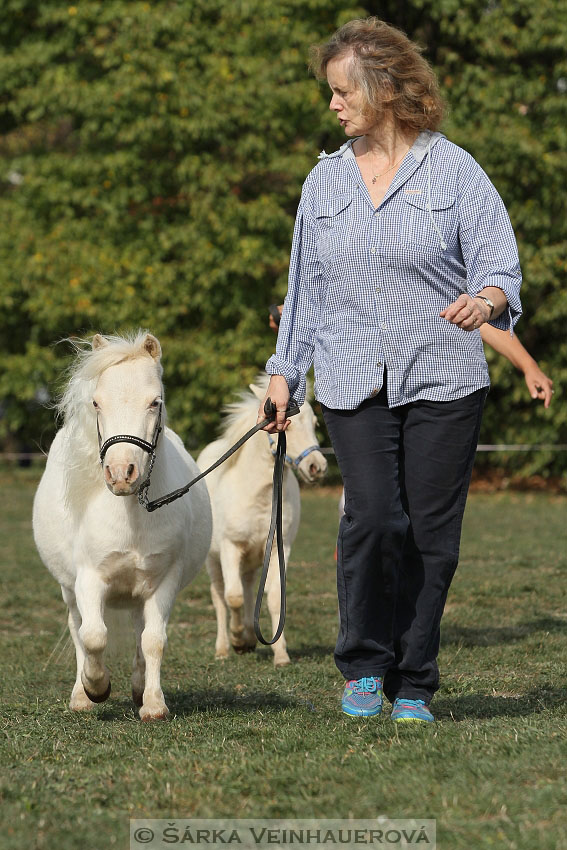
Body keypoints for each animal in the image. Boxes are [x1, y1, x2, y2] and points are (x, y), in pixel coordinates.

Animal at [32, 330, 212, 716]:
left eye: (155, 402)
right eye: (97, 403)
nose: (120, 473)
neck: (132, 513)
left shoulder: (164, 580)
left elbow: (154, 640)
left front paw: (154, 704)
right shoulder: (88, 579)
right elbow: (93, 636)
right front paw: (96, 687)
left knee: (140, 631)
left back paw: (139, 687)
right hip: (69, 589)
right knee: (78, 628)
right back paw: (81, 696)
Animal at [197, 374, 328, 664]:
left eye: (314, 424)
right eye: (288, 425)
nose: (317, 467)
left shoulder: (280, 548)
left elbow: (274, 598)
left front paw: (280, 655)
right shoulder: (230, 548)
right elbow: (232, 598)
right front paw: (236, 639)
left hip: (252, 559)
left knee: (247, 588)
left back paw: (248, 637)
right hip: (214, 560)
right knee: (220, 597)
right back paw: (224, 648)